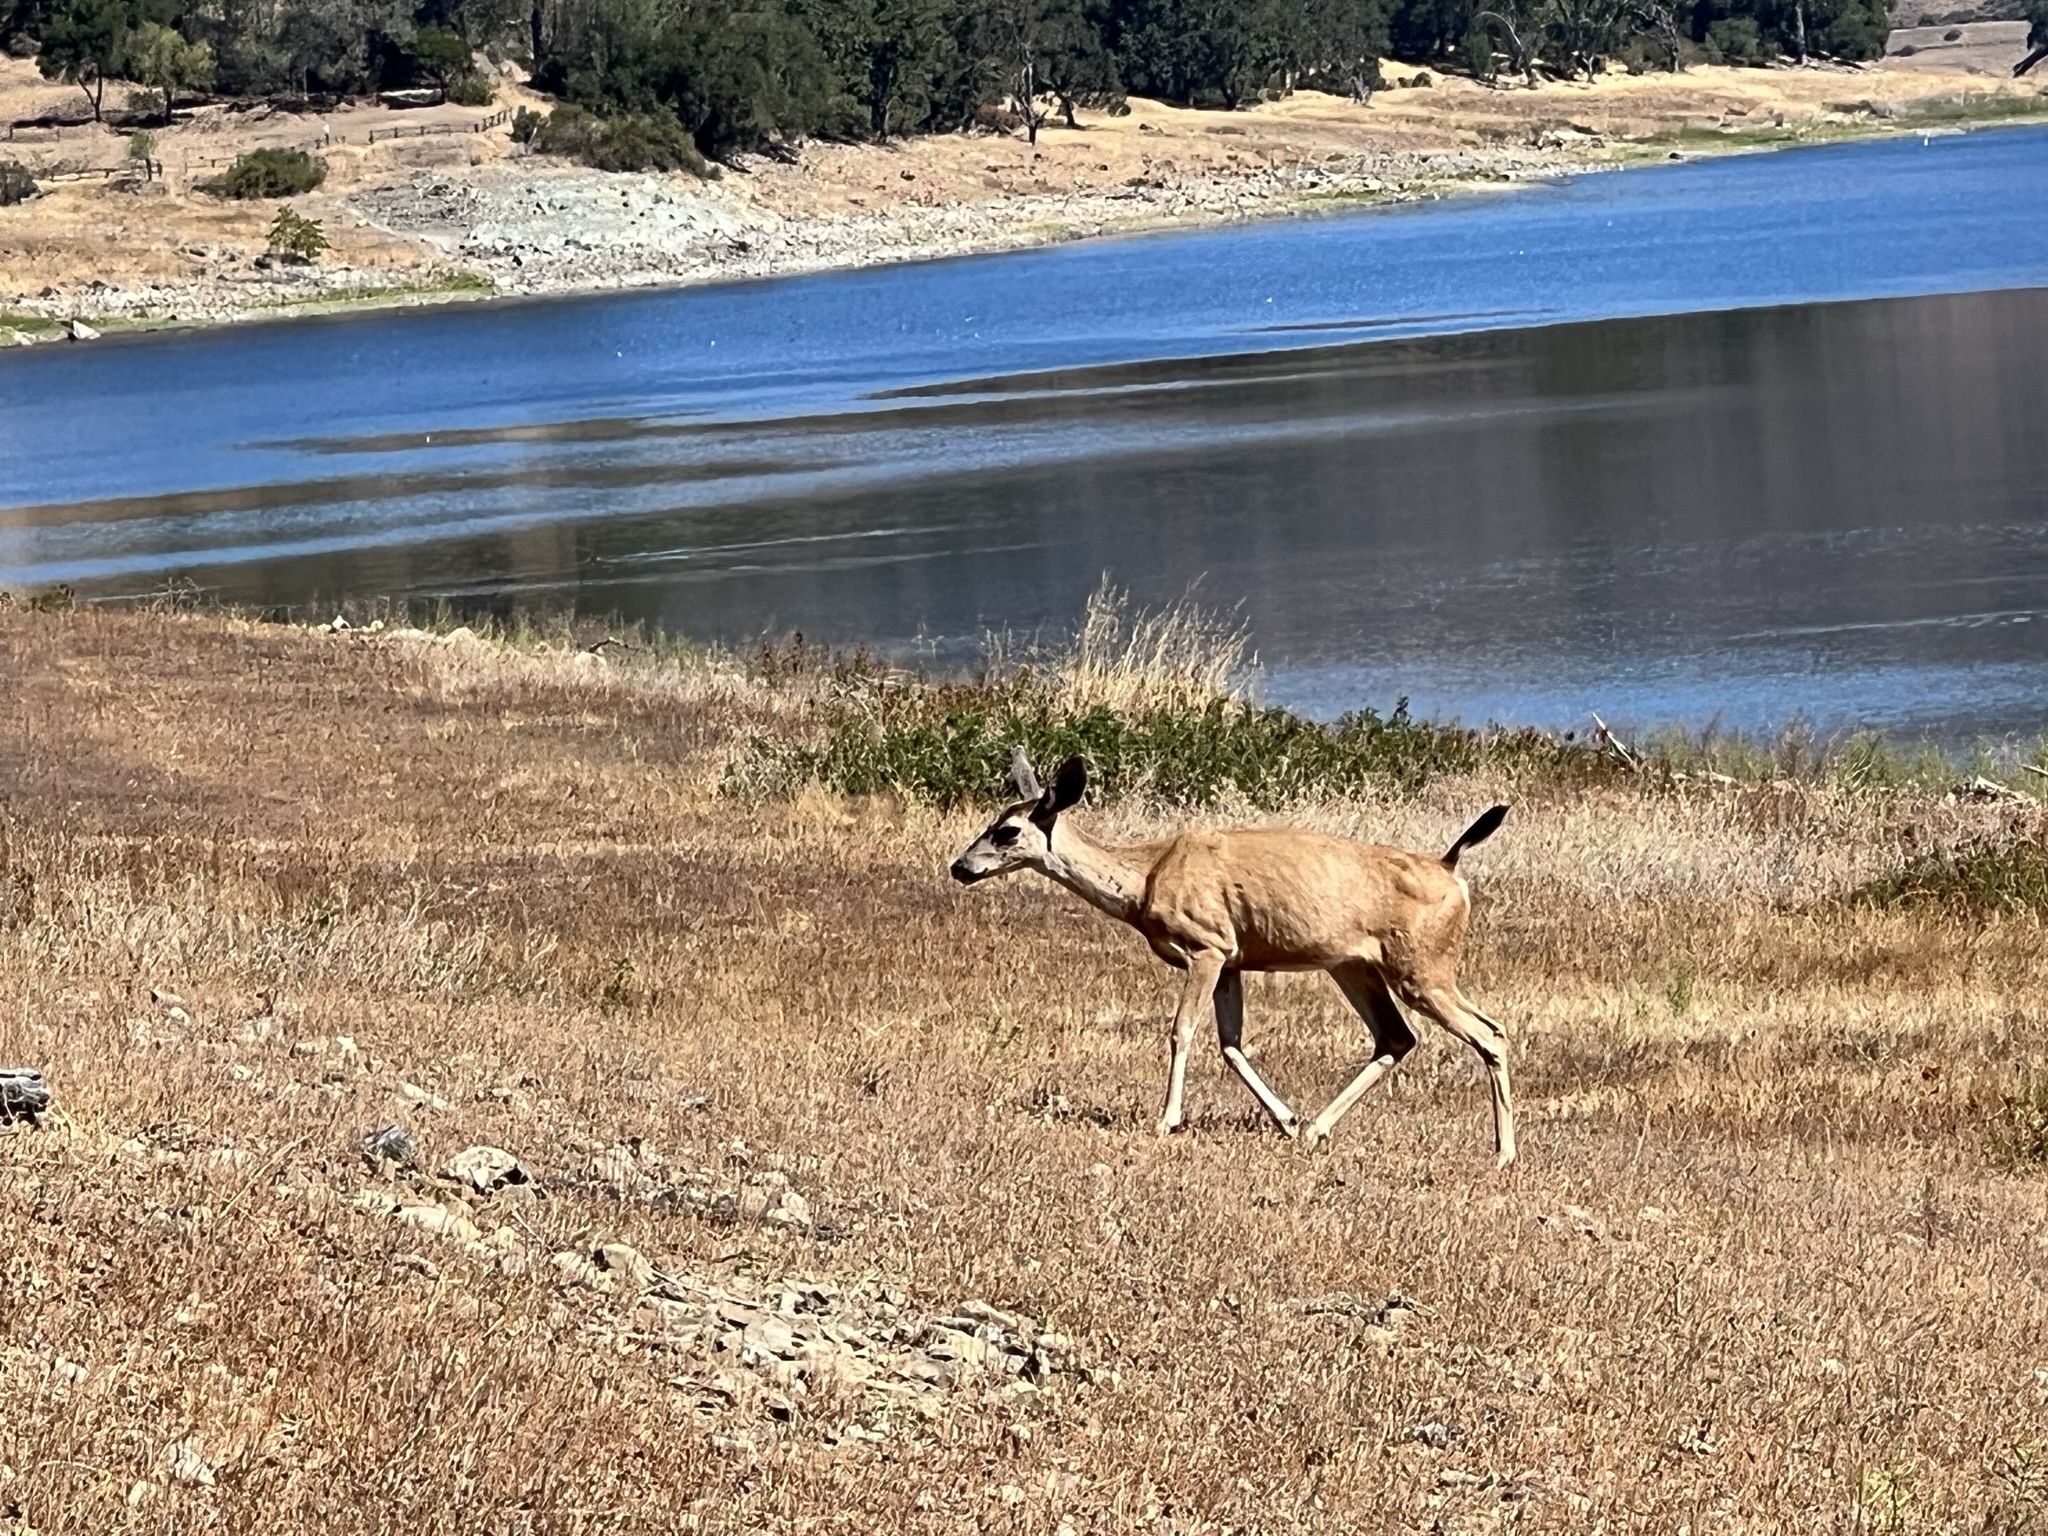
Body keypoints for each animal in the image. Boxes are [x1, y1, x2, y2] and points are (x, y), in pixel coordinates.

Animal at [949, 750, 1518, 1167]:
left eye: (1007, 831)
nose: (959, 867)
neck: (1144, 880)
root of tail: (1451, 868)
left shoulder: (1208, 945)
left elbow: (1182, 1030)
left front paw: (1166, 1120)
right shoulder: (1234, 960)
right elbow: (1230, 1044)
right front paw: (1286, 1120)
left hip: (1421, 964)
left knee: (1489, 1031)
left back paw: (1504, 1154)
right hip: (1355, 966)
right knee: (1398, 1037)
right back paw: (1315, 1128)